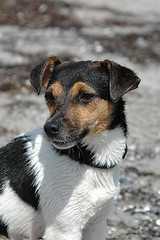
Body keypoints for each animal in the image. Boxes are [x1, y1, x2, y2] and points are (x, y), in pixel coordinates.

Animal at [0, 56, 140, 240]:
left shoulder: (97, 224)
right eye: (49, 96)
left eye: (86, 96)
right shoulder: (63, 230)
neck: (86, 160)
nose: (49, 128)